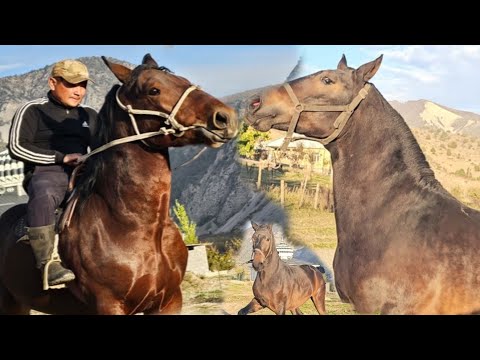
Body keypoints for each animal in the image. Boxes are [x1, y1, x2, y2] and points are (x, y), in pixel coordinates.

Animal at [0, 54, 239, 316]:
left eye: (183, 80)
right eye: (153, 90)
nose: (225, 117)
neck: (135, 224)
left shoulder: (170, 301)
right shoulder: (110, 305)